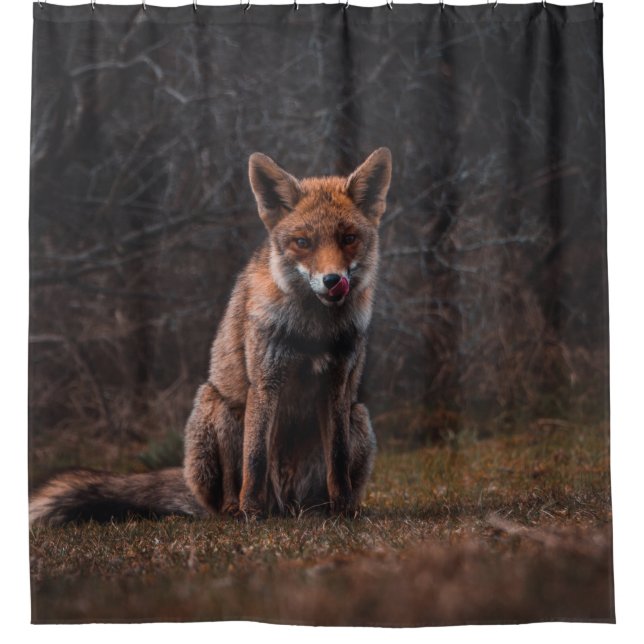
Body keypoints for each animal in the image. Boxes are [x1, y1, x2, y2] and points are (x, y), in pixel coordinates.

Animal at [29, 147, 392, 525]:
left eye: (348, 239)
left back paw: (323, 510)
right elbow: (255, 460)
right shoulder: (266, 381)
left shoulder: (336, 385)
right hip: (217, 406)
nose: (333, 280)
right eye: (303, 243)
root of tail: (287, 505)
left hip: (358, 416)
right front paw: (252, 513)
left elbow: (337, 458)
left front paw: (345, 510)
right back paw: (239, 510)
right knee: (228, 491)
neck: (313, 331)